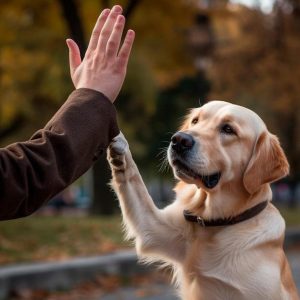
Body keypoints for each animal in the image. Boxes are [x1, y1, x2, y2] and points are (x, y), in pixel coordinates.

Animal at [106, 101, 298, 300]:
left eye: (228, 129)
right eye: (195, 121)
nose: (179, 140)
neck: (216, 222)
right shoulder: (153, 228)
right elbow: (134, 180)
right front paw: (118, 146)